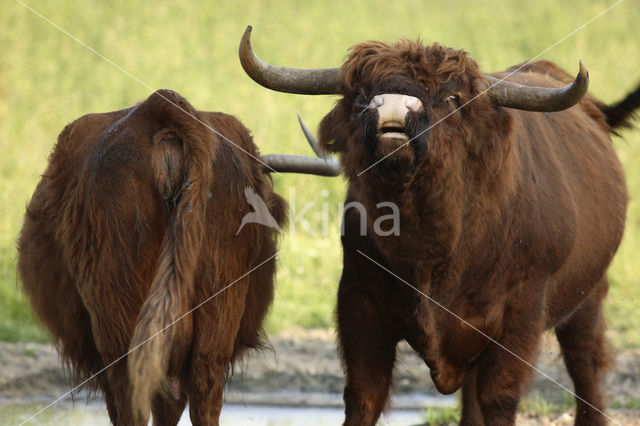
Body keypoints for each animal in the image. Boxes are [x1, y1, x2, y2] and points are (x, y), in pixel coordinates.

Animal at [241, 27, 640, 426]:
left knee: (585, 368)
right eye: (362, 94)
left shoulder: (520, 317)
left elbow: (499, 399)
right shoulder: (358, 302)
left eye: (450, 97)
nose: (393, 107)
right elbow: (363, 398)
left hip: (588, 299)